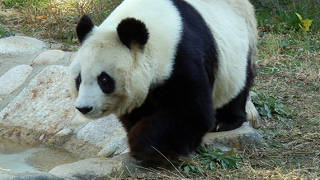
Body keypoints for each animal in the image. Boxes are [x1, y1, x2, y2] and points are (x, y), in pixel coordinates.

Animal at [70, 0, 258, 163]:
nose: (84, 108)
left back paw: (224, 122)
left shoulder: (181, 55)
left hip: (239, 45)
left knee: (238, 84)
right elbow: (137, 110)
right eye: (79, 79)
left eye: (103, 79)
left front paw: (148, 148)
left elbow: (190, 111)